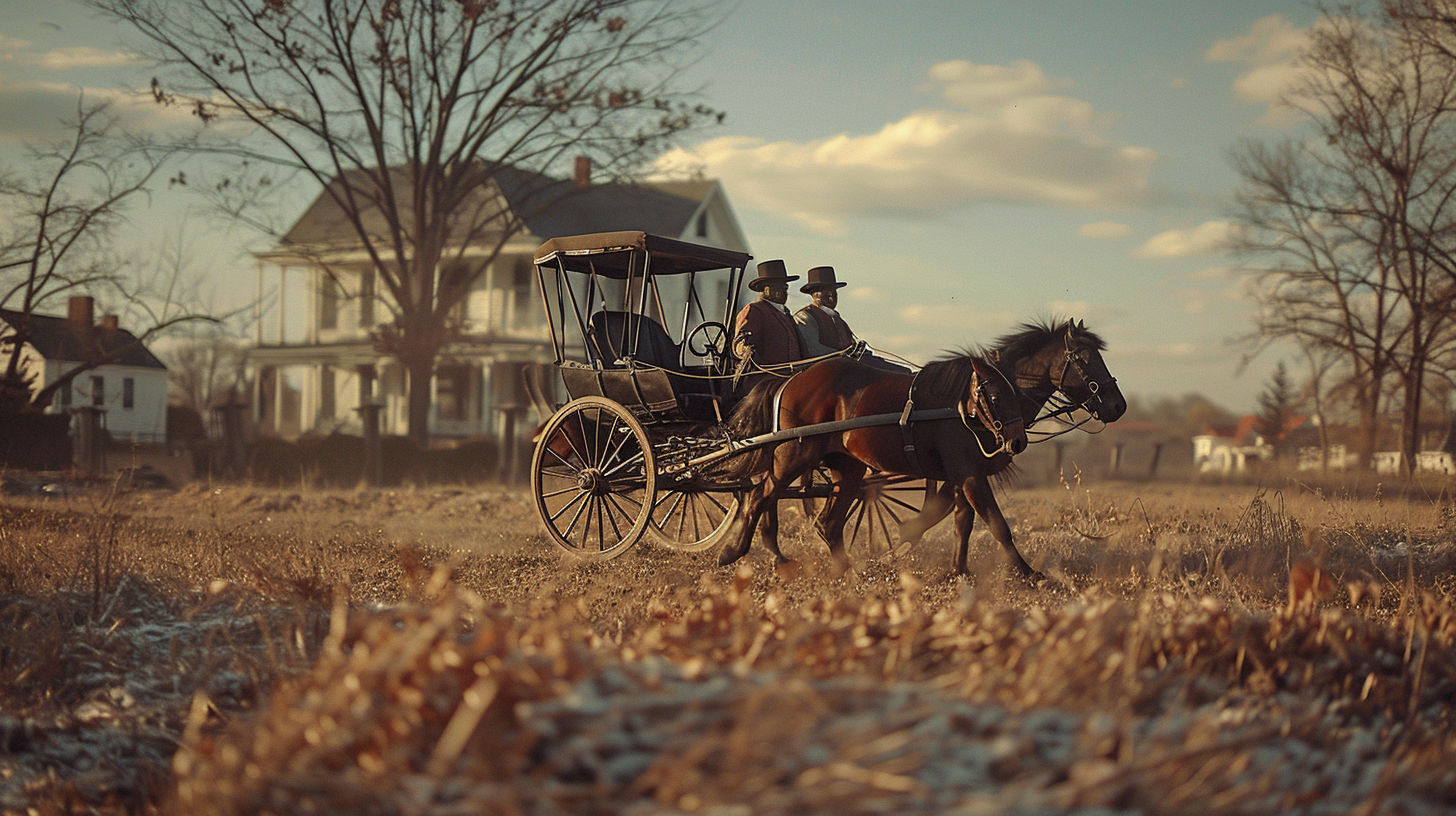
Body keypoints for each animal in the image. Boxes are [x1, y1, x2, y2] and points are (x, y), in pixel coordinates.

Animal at [722, 354, 1030, 577]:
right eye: (995, 397)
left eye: (1017, 395)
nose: (1018, 442)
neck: (956, 407)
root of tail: (790, 380)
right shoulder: (969, 475)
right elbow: (996, 523)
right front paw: (1027, 572)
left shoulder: (963, 475)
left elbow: (963, 523)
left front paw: (959, 569)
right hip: (793, 455)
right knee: (759, 496)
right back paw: (734, 551)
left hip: (846, 470)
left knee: (826, 522)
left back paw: (843, 571)